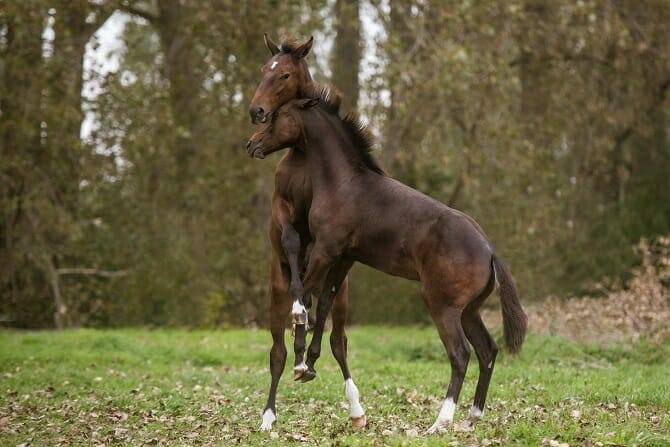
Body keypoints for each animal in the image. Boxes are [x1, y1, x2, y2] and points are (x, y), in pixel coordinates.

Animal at [248, 92, 532, 434]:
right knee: (487, 351)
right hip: (469, 312)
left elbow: (302, 295)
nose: (252, 144)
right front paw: (310, 363)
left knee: (461, 354)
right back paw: (471, 418)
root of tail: (488, 250)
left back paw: (440, 423)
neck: (344, 183)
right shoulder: (344, 258)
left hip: (443, 307)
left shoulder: (326, 250)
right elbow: (324, 303)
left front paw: (302, 361)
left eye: (278, 116)